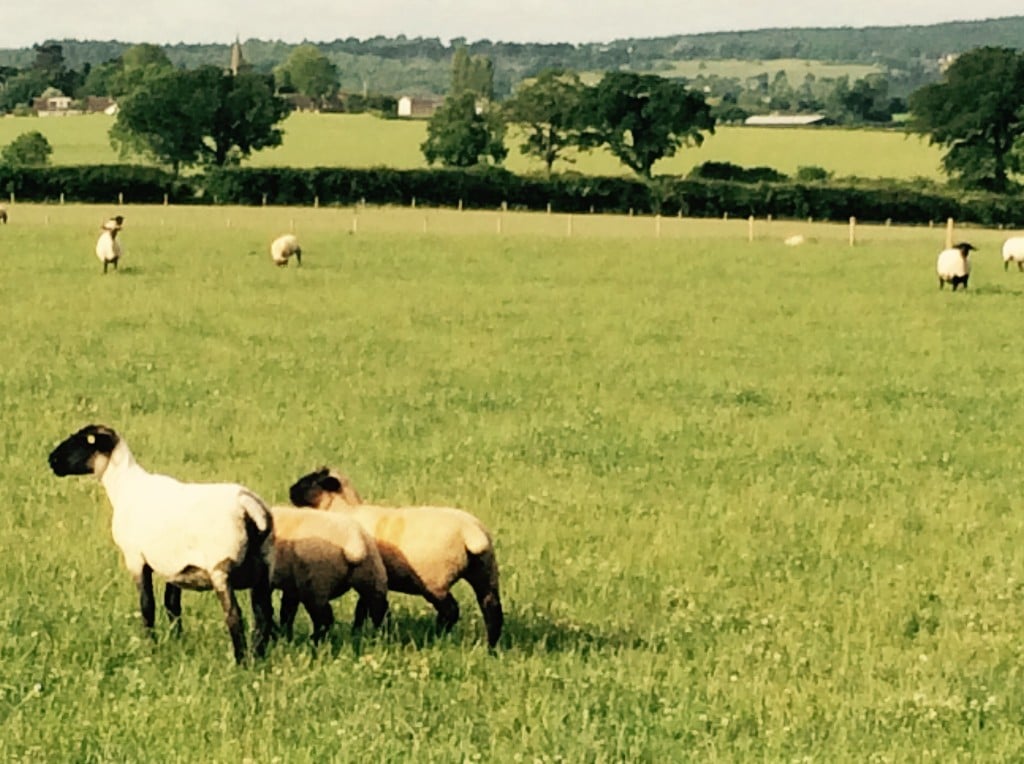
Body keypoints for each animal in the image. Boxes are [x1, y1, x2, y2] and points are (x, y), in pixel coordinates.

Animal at [48, 421, 276, 659]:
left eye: (83, 441)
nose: (51, 460)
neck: (125, 487)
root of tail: (248, 504)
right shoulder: (174, 567)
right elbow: (172, 604)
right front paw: (177, 641)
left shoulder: (135, 559)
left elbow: (147, 605)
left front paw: (150, 648)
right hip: (263, 567)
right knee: (263, 614)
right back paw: (258, 656)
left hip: (220, 568)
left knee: (234, 615)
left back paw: (241, 660)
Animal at [268, 505, 387, 643]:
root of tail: (353, 540)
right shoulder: (291, 585)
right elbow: (287, 611)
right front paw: (284, 635)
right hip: (371, 573)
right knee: (376, 607)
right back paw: (374, 635)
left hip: (316, 581)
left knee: (323, 617)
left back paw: (316, 641)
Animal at [288, 467, 503, 647]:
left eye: (310, 482)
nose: (290, 491)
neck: (344, 510)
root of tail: (471, 531)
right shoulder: (372, 578)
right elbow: (361, 608)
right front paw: (357, 632)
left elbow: (363, 608)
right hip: (485, 571)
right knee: (492, 608)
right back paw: (491, 647)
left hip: (435, 579)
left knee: (450, 611)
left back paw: (437, 636)